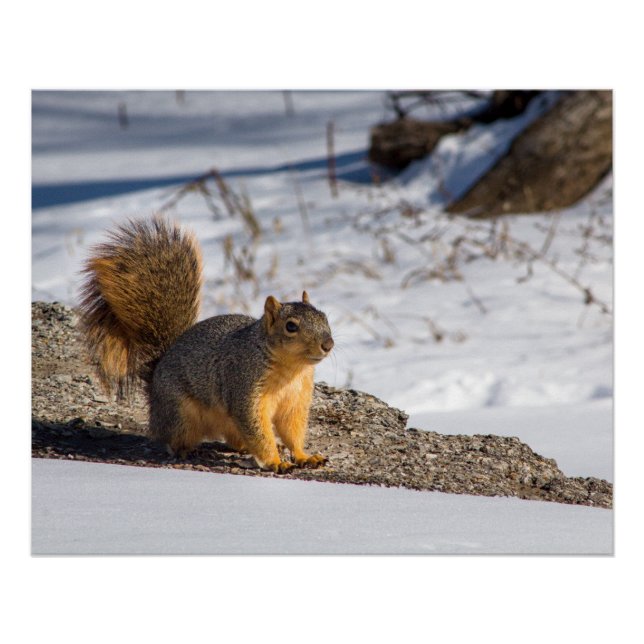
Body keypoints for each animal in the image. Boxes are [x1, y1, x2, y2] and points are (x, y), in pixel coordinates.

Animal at [78, 216, 334, 473]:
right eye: (291, 326)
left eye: (324, 317)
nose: (328, 344)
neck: (291, 369)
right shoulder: (243, 386)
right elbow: (258, 429)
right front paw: (274, 461)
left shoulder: (296, 400)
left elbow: (293, 430)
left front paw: (304, 456)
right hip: (181, 413)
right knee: (173, 439)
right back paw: (187, 450)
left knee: (235, 439)